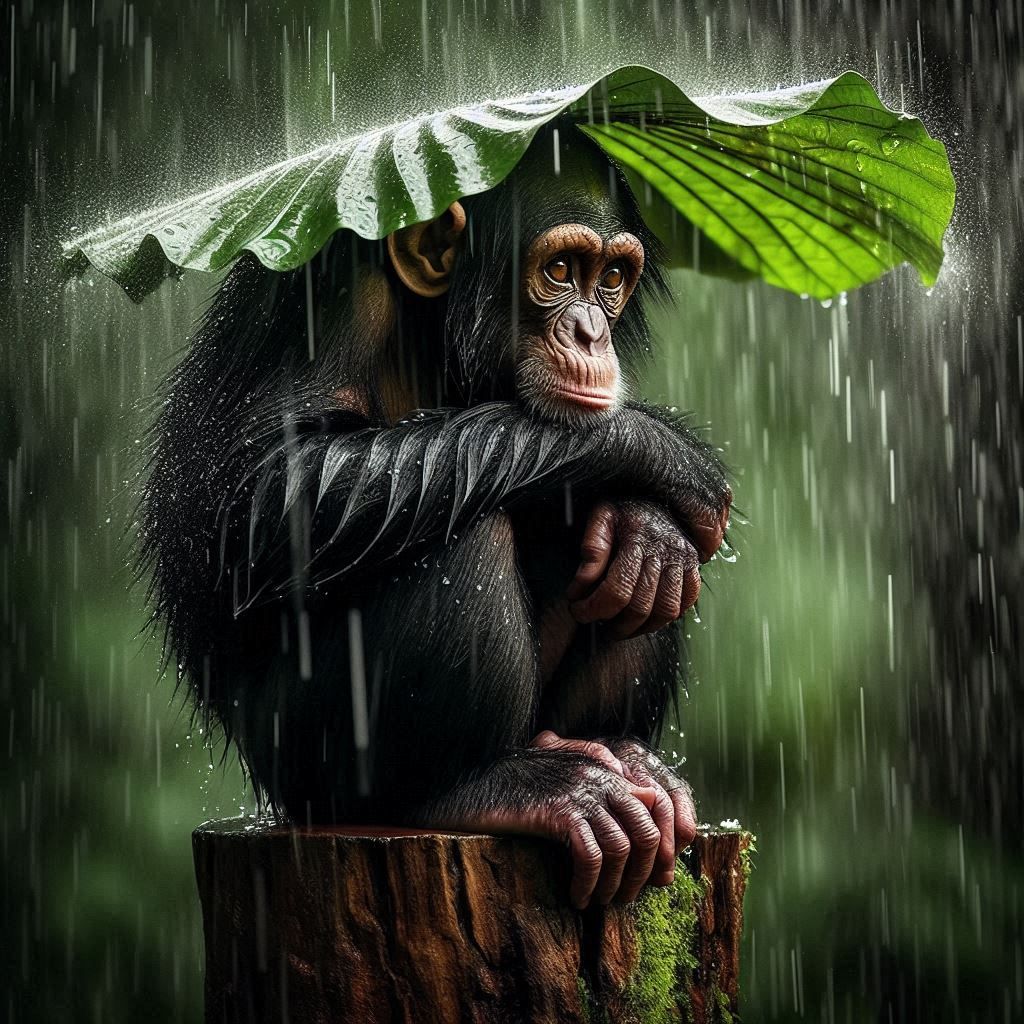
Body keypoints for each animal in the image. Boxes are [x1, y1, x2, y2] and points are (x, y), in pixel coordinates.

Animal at [142, 123, 731, 910]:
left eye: (611, 279)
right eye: (561, 269)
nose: (589, 333)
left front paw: (651, 517)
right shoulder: (329, 288)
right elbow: (272, 493)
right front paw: (656, 451)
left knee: (629, 557)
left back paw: (630, 741)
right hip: (307, 762)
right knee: (464, 536)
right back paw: (487, 790)